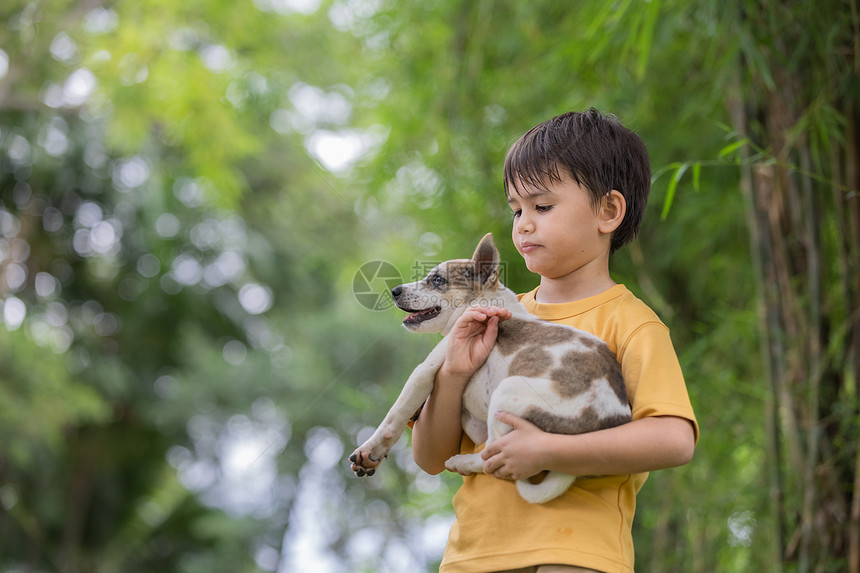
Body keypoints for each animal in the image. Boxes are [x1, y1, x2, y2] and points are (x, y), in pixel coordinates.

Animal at [350, 232, 632, 500]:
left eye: (438, 280)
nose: (395, 290)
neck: (484, 301)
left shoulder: (424, 371)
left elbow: (394, 415)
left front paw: (370, 449)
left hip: (508, 391)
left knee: (490, 458)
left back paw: (462, 462)